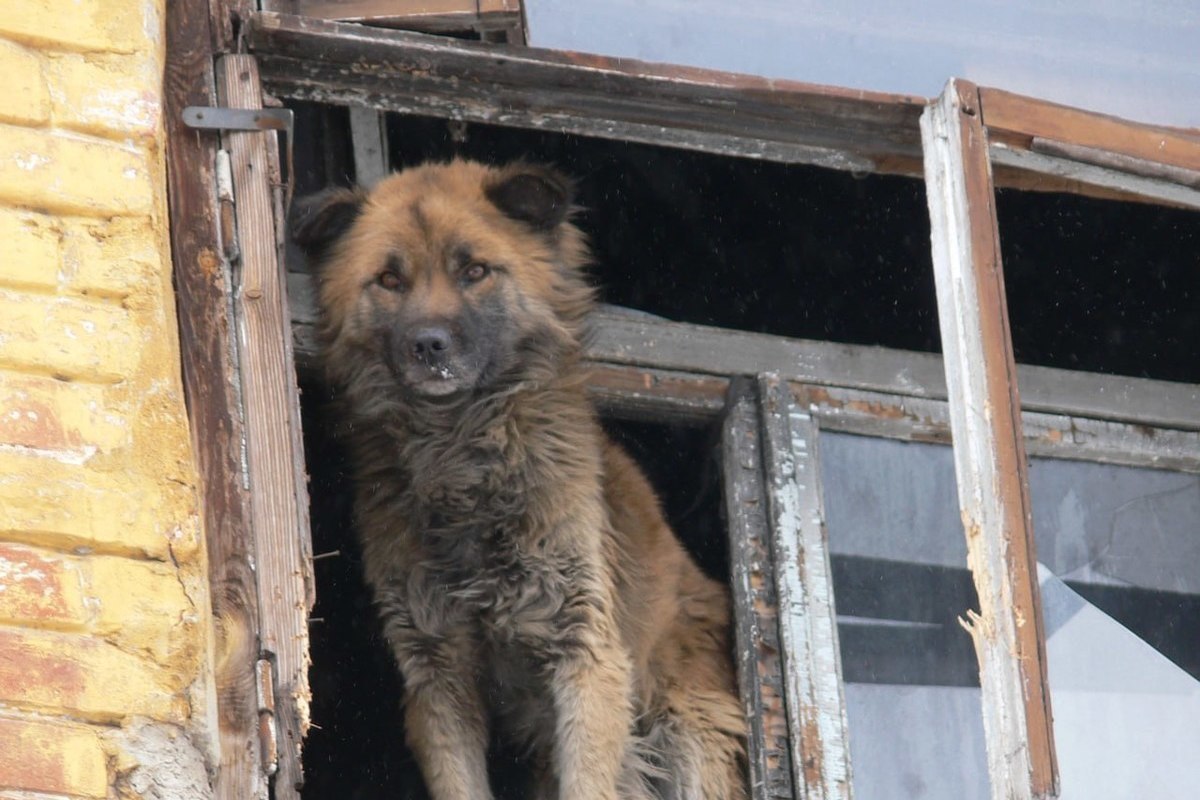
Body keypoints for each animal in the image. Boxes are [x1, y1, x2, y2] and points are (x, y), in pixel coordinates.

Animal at [292, 160, 739, 800]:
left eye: (475, 271)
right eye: (389, 279)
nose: (428, 345)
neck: (462, 453)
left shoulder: (587, 651)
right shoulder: (435, 673)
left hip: (691, 732)